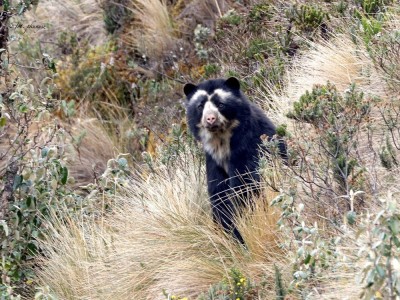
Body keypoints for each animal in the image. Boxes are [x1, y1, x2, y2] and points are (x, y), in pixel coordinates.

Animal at [183, 77, 286, 244]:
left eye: (220, 104)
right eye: (200, 106)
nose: (210, 119)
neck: (222, 142)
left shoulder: (247, 148)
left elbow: (245, 185)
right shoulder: (213, 162)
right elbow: (219, 194)